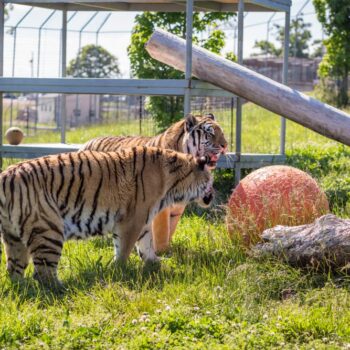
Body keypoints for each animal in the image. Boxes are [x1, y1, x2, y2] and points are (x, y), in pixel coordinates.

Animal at [0, 146, 213, 286]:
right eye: (211, 180)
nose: (214, 193)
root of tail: (6, 176)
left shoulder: (143, 220)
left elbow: (146, 244)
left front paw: (155, 263)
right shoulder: (131, 220)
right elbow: (124, 249)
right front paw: (119, 271)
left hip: (13, 237)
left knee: (13, 271)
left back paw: (23, 288)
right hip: (48, 230)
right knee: (43, 273)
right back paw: (63, 289)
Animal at [80, 113, 226, 253]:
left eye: (222, 133)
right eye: (210, 133)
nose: (225, 145)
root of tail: (85, 144)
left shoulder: (177, 209)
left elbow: (171, 229)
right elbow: (162, 231)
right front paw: (162, 252)